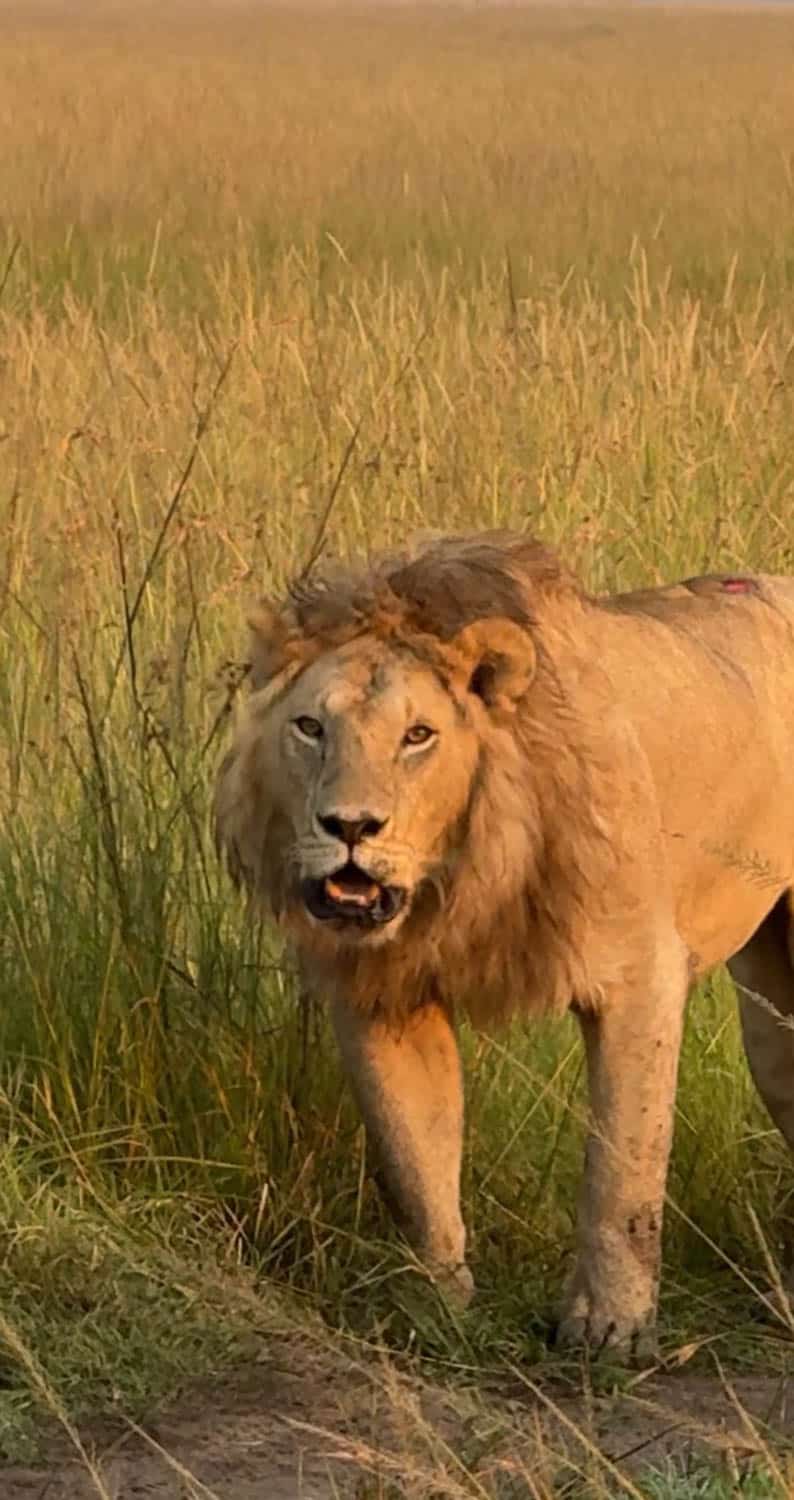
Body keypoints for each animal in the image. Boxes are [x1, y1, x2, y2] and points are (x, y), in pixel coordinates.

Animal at [214, 530, 794, 1359]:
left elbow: (622, 1167)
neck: (462, 875)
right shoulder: (383, 996)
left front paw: (609, 1327)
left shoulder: (640, 977)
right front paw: (435, 1309)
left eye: (418, 735)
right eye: (310, 728)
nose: (350, 827)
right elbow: (414, 1160)